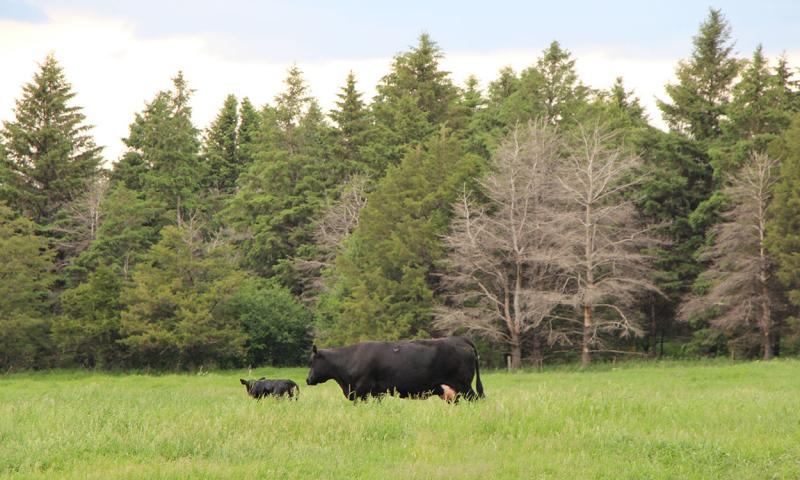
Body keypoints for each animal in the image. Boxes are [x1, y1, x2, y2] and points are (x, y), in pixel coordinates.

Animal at [305, 336, 484, 402]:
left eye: (312, 362)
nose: (307, 379)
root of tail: (460, 339)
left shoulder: (362, 391)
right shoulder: (376, 394)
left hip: (464, 385)